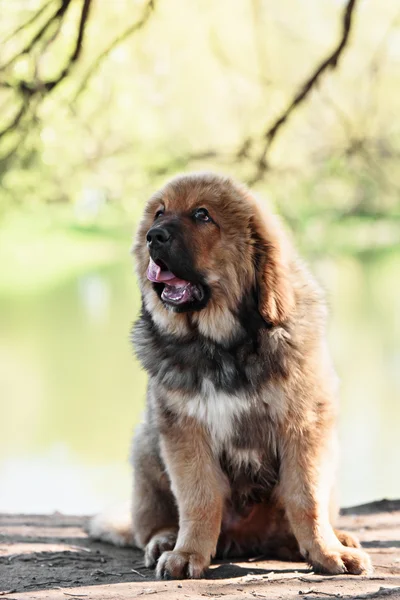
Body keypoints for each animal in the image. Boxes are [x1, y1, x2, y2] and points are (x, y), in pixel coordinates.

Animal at [89, 173, 374, 580]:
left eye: (202, 215)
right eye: (159, 212)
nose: (153, 237)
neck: (222, 347)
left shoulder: (306, 424)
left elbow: (306, 497)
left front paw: (326, 550)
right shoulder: (184, 430)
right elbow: (199, 498)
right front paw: (187, 553)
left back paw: (327, 539)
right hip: (146, 443)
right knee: (152, 522)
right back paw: (164, 540)